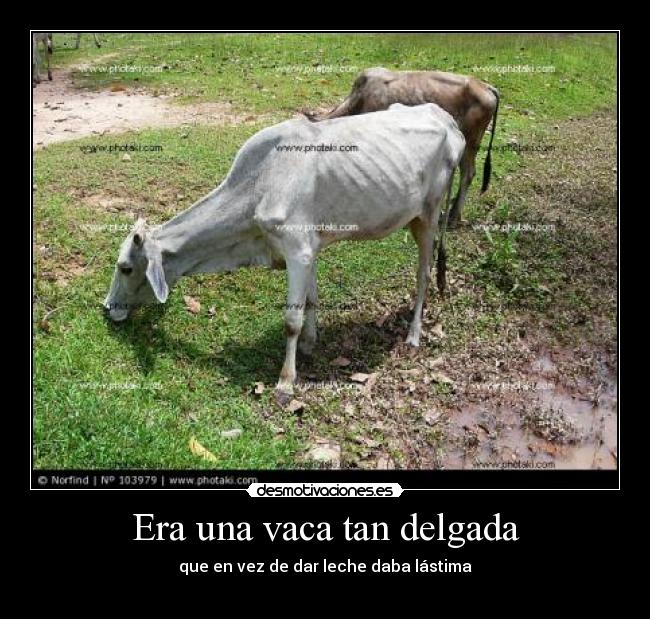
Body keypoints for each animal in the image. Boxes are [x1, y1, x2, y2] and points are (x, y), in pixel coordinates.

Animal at [104, 103, 465, 395]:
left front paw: (286, 380)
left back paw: (414, 334)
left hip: (429, 215)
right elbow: (311, 300)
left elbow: (291, 318)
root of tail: (446, 118)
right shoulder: (309, 248)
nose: (107, 308)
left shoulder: (297, 251)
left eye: (126, 267)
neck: (256, 188)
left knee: (423, 274)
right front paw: (309, 343)